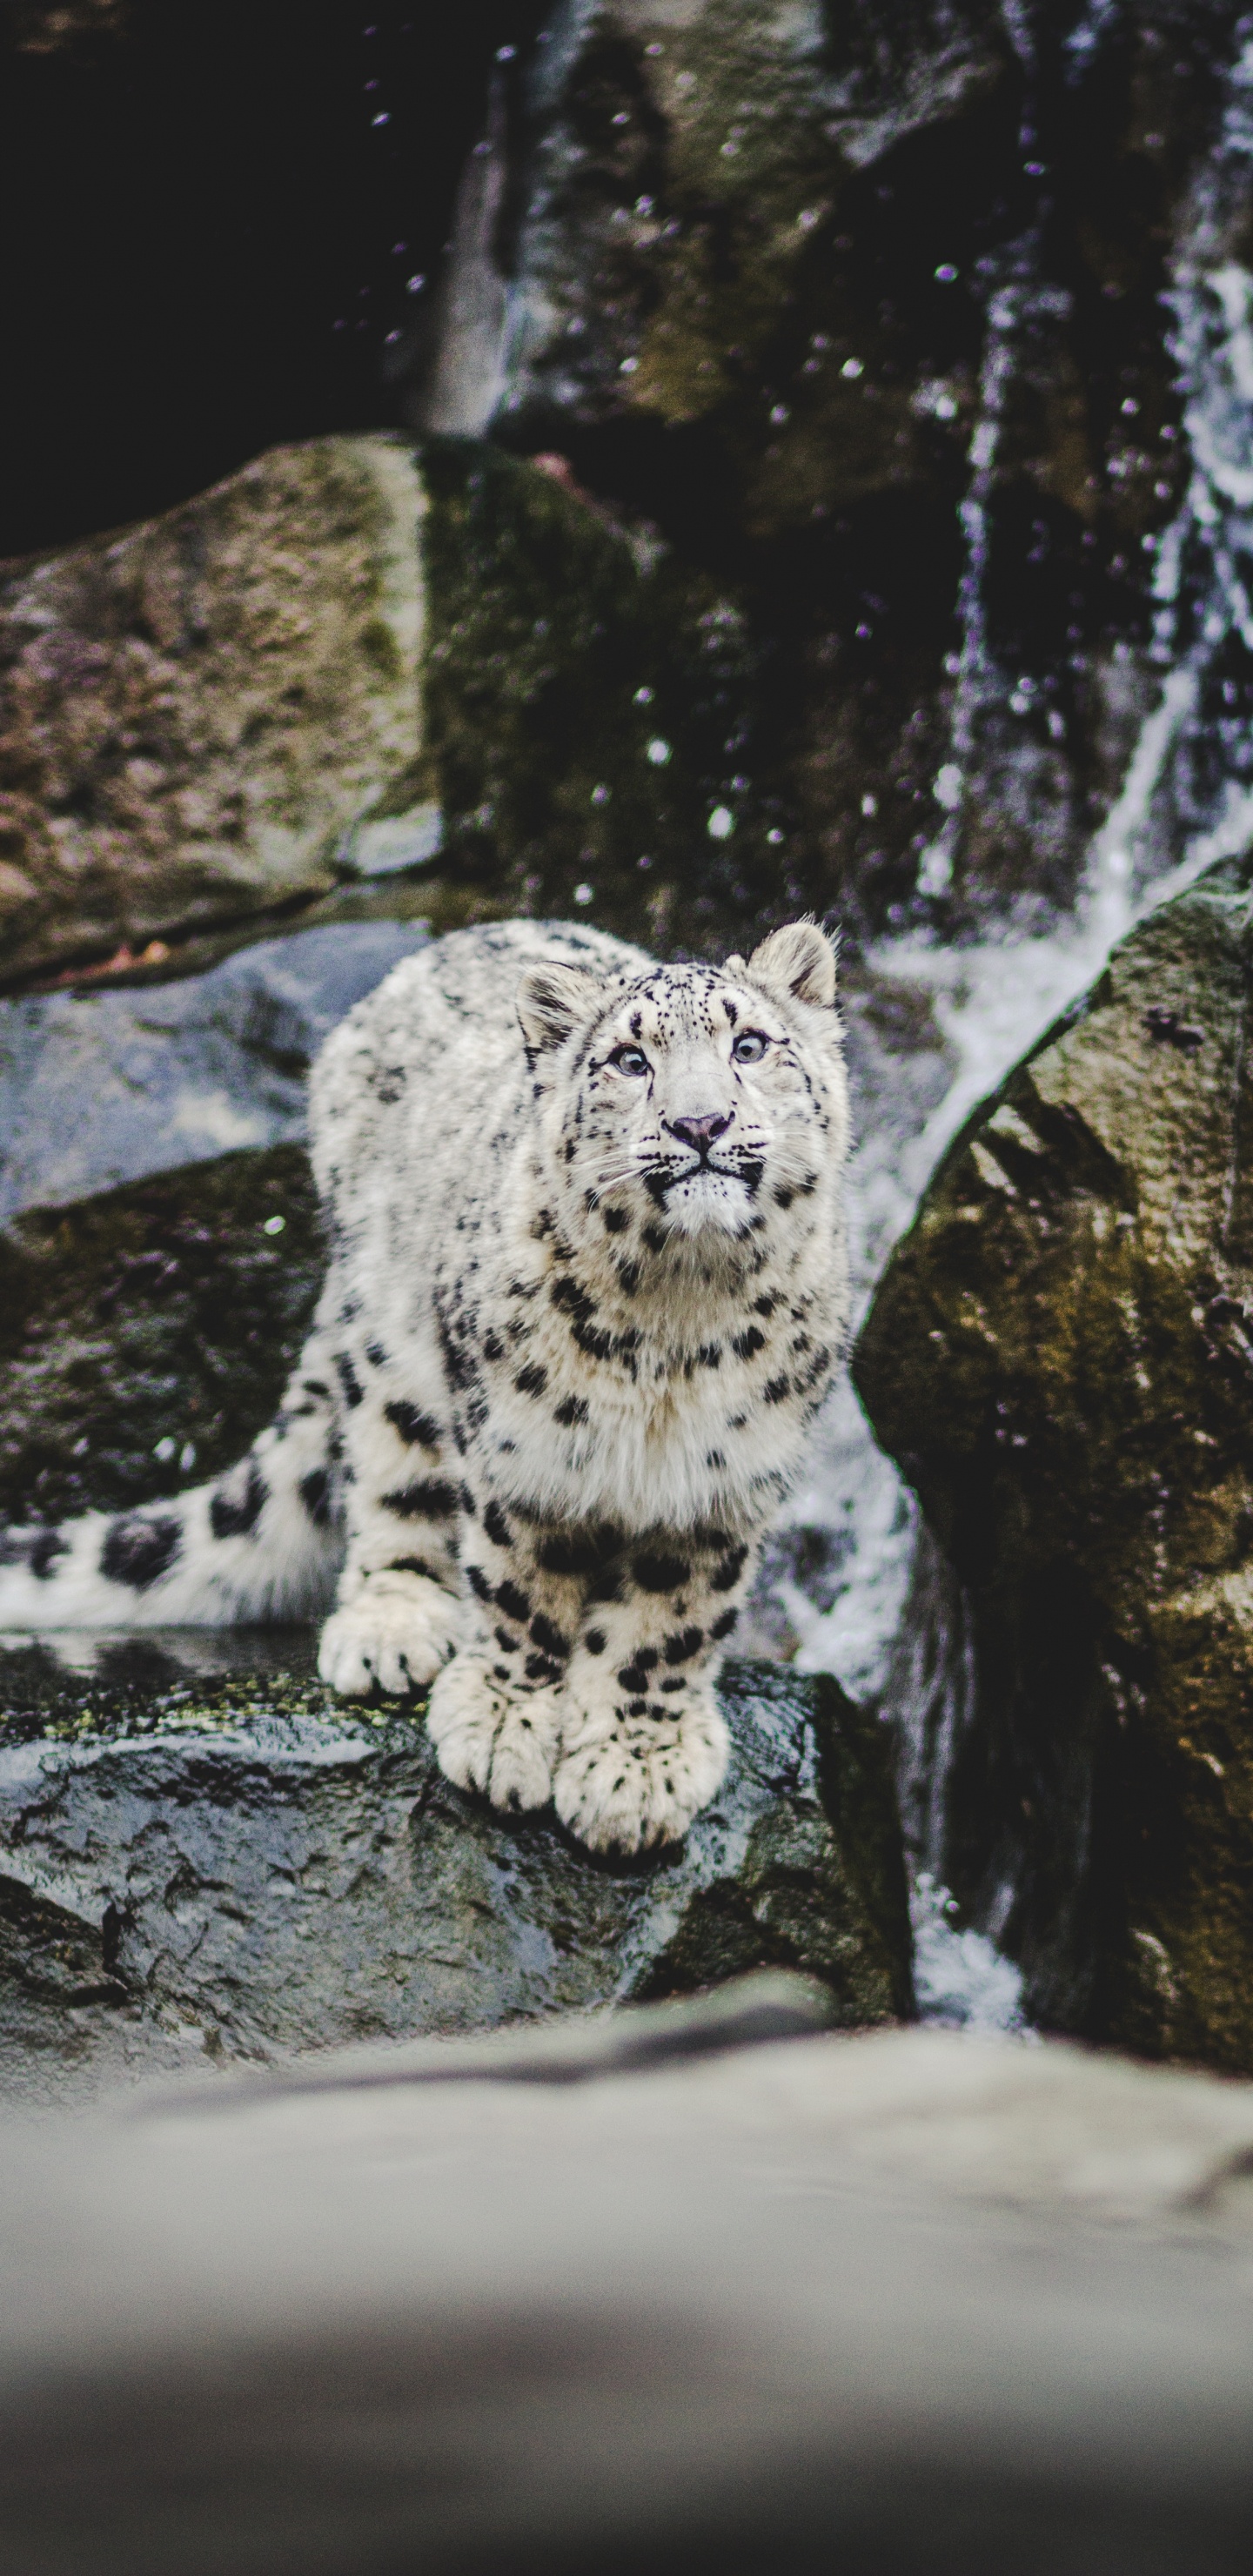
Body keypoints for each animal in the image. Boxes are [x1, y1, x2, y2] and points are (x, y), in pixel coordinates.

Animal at [0, 917, 850, 1852]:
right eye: (630, 1061)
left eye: (751, 1045)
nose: (701, 1122)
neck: (678, 1322)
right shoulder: (522, 1448)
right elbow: (521, 1584)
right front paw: (507, 1724)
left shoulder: (721, 1481)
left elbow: (670, 1624)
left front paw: (635, 1768)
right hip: (390, 1345)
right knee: (387, 1474)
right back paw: (392, 1625)